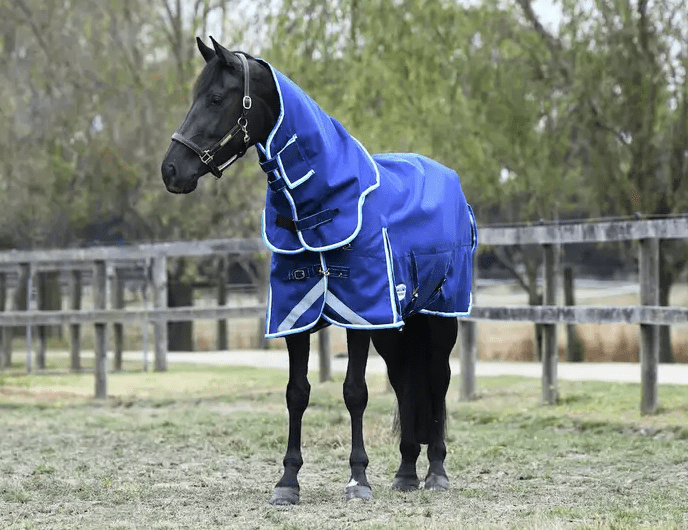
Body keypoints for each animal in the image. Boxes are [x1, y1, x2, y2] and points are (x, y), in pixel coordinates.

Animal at [161, 37, 477, 505]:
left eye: (216, 98)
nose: (171, 170)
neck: (322, 205)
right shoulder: (297, 312)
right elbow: (297, 394)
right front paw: (287, 482)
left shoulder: (359, 313)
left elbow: (355, 392)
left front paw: (358, 480)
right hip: (395, 327)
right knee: (404, 381)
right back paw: (405, 472)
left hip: (439, 317)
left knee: (437, 380)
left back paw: (436, 471)